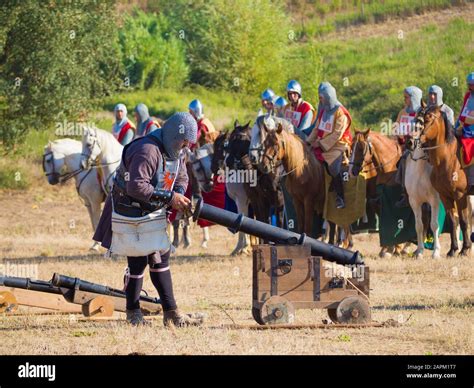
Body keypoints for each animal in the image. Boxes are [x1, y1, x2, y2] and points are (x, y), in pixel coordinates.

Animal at [418, 104, 470, 256]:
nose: (418, 139)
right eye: (420, 117)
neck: (447, 159)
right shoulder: (445, 196)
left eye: (429, 118)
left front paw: (465, 248)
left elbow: (463, 221)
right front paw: (453, 249)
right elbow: (452, 222)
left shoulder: (460, 195)